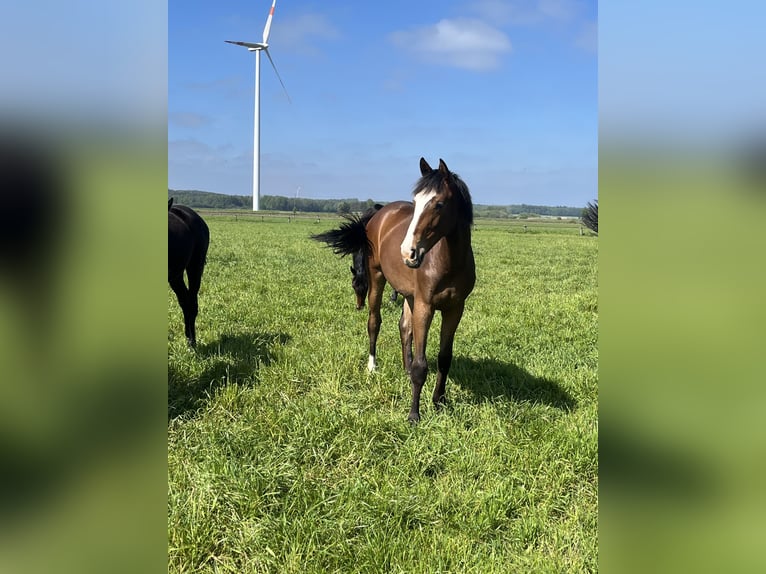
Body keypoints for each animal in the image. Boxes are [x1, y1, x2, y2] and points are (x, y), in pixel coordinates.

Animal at [313, 158, 475, 422]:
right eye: (416, 202)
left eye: (439, 204)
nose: (408, 252)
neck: (448, 261)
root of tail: (380, 212)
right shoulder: (425, 306)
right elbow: (421, 364)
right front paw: (414, 415)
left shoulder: (454, 309)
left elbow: (444, 358)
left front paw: (439, 402)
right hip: (378, 278)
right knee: (374, 322)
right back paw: (372, 366)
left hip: (409, 295)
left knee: (404, 328)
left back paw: (405, 369)